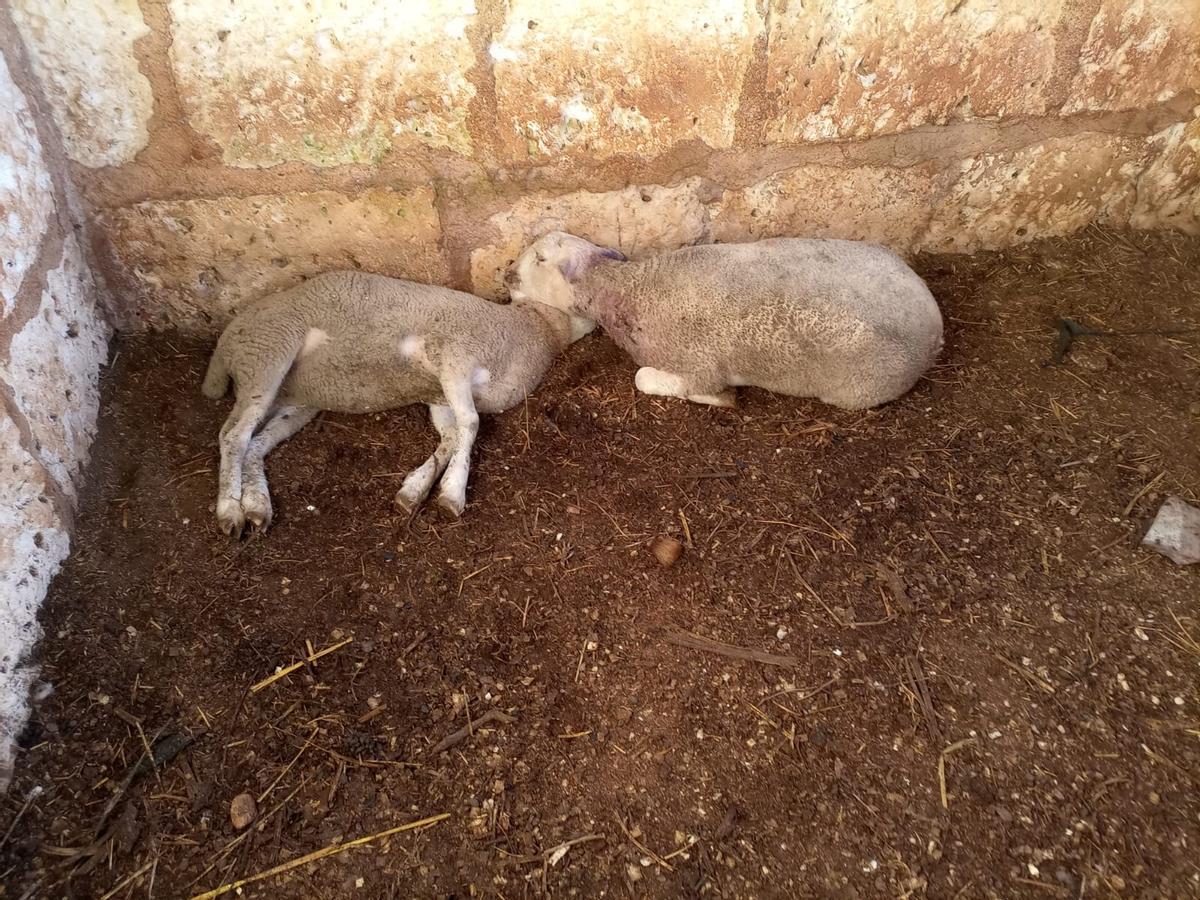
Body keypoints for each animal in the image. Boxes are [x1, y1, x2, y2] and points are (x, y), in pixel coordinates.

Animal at [202, 270, 594, 537]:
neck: (538, 327)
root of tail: (224, 344)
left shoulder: (440, 394)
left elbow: (452, 436)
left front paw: (416, 489)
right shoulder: (452, 357)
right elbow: (469, 425)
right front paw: (453, 493)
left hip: (294, 403)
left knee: (255, 444)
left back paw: (256, 505)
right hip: (267, 353)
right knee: (232, 435)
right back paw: (230, 510)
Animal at [505, 232, 943, 410]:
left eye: (540, 259)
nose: (507, 274)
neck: (632, 289)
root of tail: (935, 326)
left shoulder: (698, 366)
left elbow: (646, 379)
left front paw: (721, 400)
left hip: (861, 388)